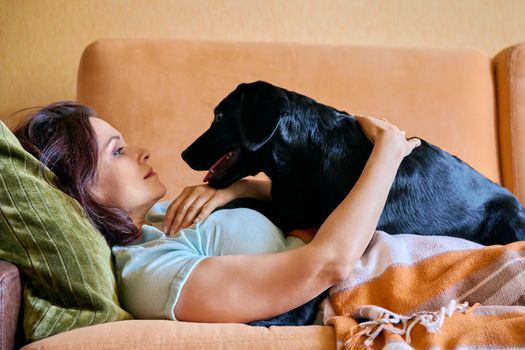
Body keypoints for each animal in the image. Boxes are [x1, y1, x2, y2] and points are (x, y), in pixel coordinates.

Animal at [182, 80, 524, 326]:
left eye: (219, 116)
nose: (183, 154)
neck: (305, 158)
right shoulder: (289, 210)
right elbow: (244, 199)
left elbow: (316, 282)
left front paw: (286, 318)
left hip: (507, 218)